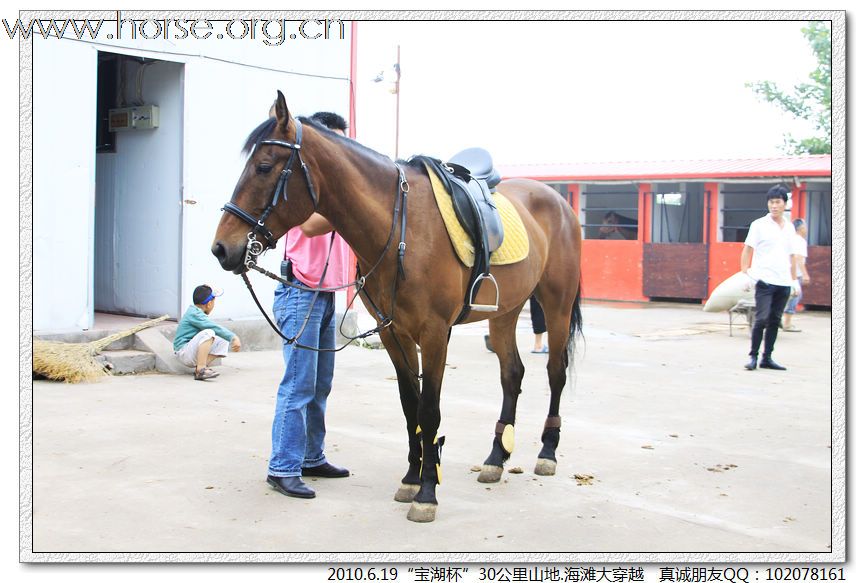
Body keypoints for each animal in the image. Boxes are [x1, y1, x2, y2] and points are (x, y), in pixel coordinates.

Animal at [209, 92, 580, 524]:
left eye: (264, 167)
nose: (222, 248)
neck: (403, 228)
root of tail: (557, 200)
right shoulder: (393, 333)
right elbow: (410, 407)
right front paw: (411, 478)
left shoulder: (434, 334)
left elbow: (429, 411)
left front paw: (427, 492)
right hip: (504, 312)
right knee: (512, 374)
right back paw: (495, 458)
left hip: (556, 305)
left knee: (555, 372)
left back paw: (547, 452)